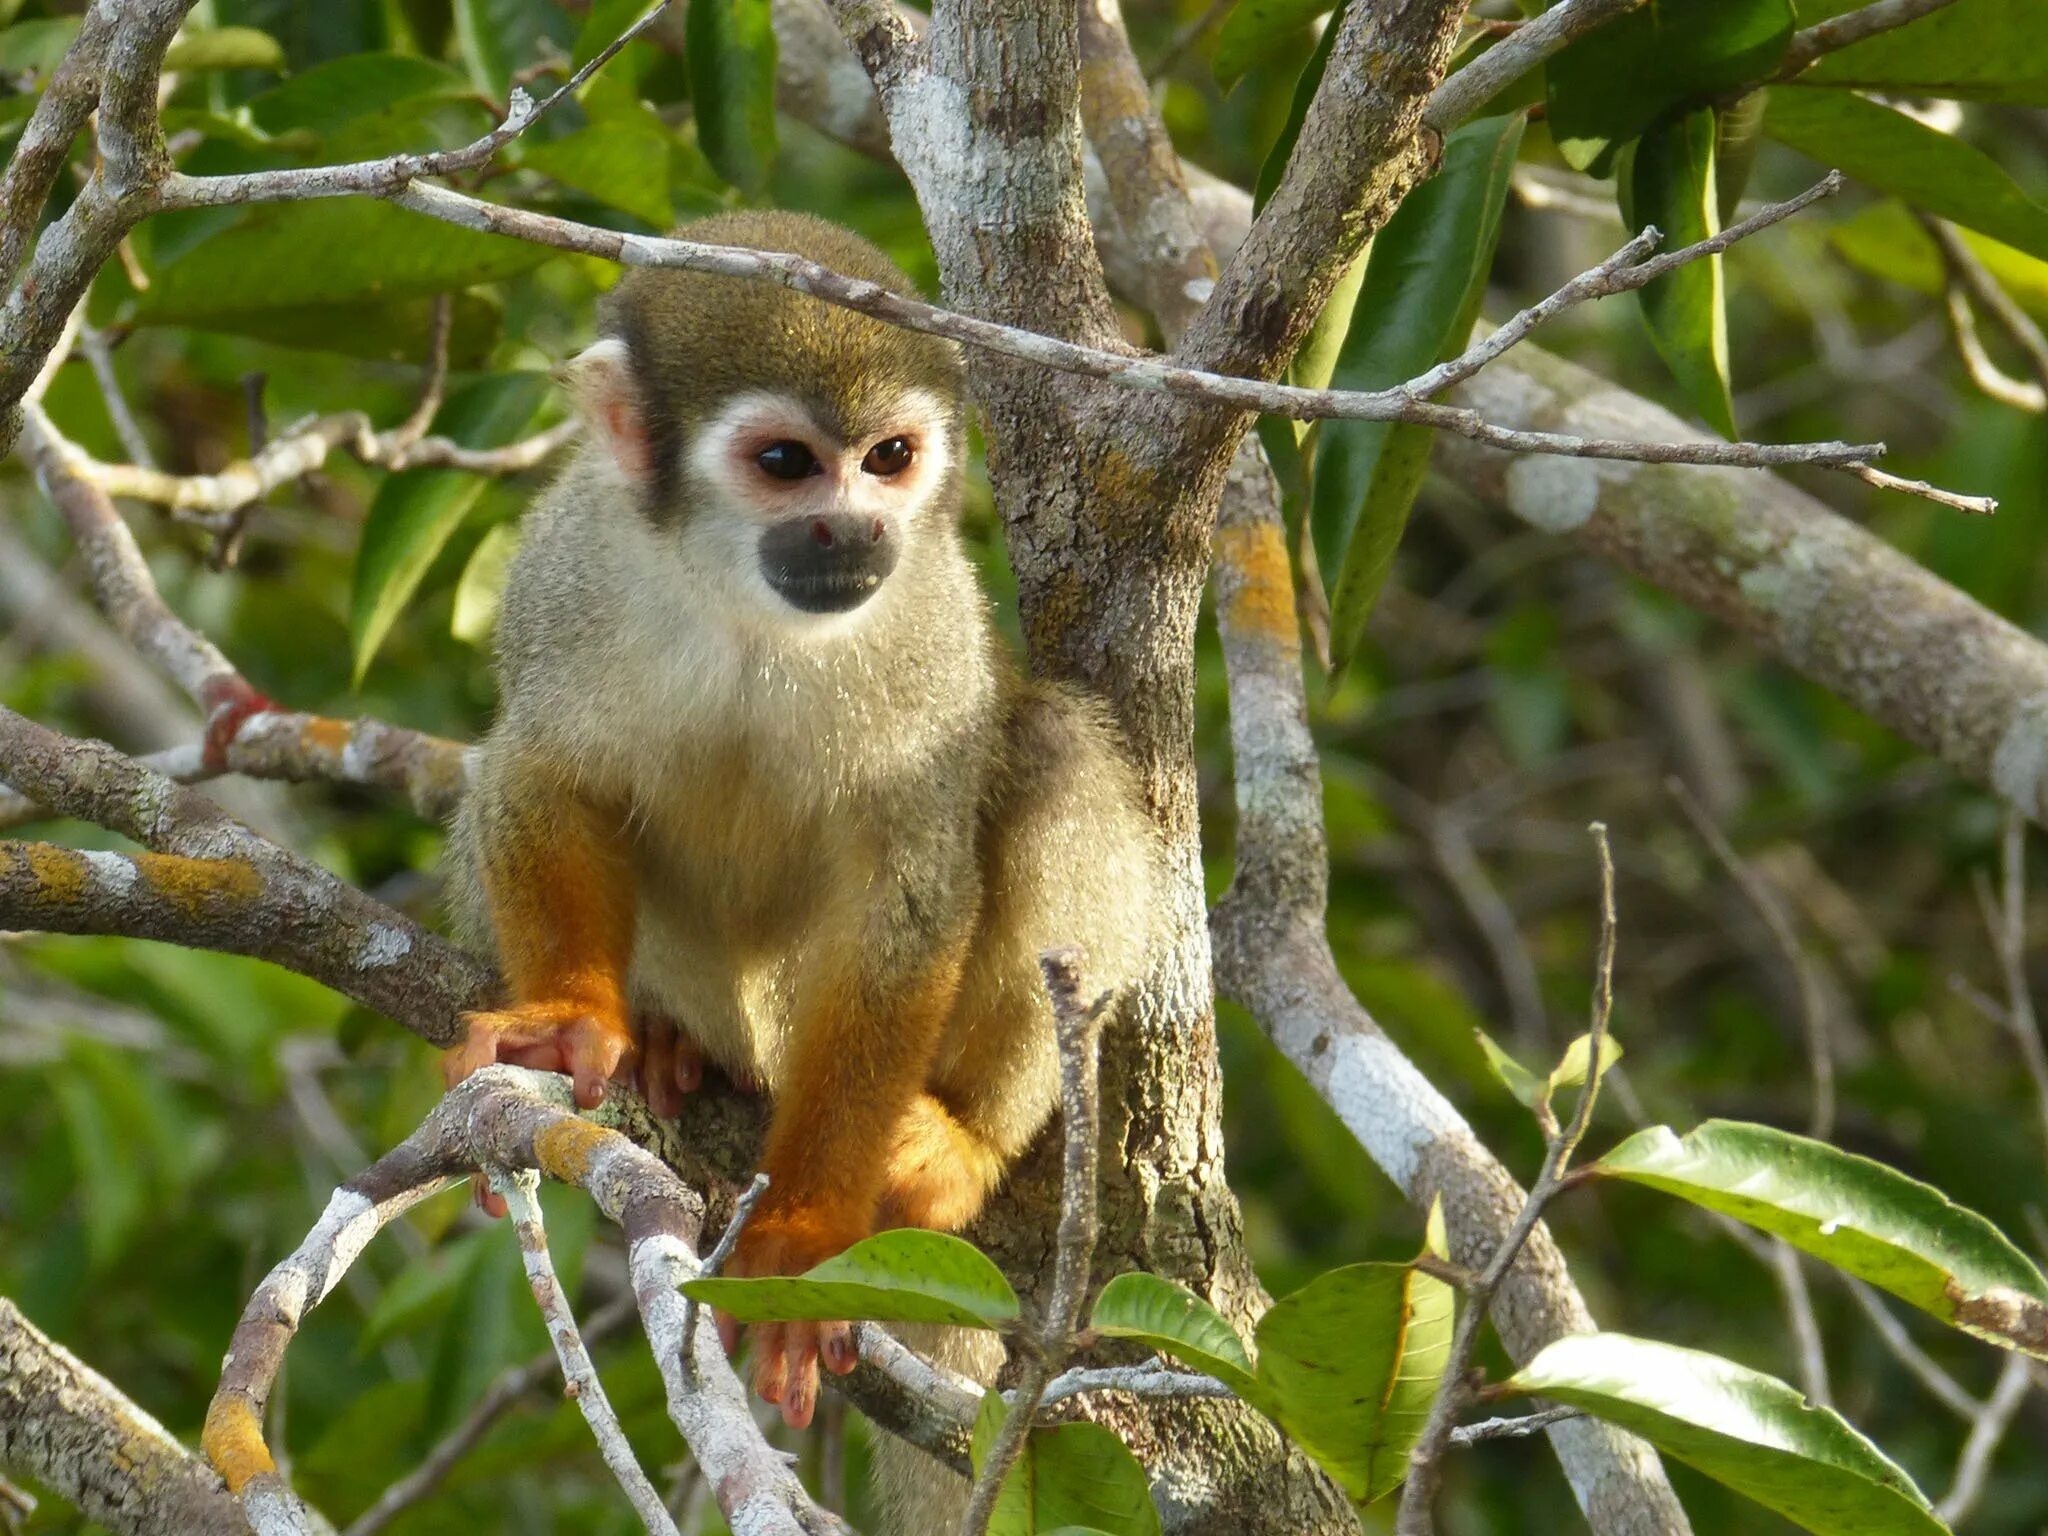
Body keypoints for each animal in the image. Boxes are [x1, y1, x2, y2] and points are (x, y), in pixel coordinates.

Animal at [444, 214, 1155, 1433]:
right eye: (785, 465)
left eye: (888, 458)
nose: (850, 531)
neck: (743, 604)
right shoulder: (569, 563)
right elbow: (545, 775)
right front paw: (567, 1016)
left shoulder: (932, 617)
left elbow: (904, 896)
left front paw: (802, 1241)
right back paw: (673, 1038)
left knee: (1055, 746)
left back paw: (965, 1140)